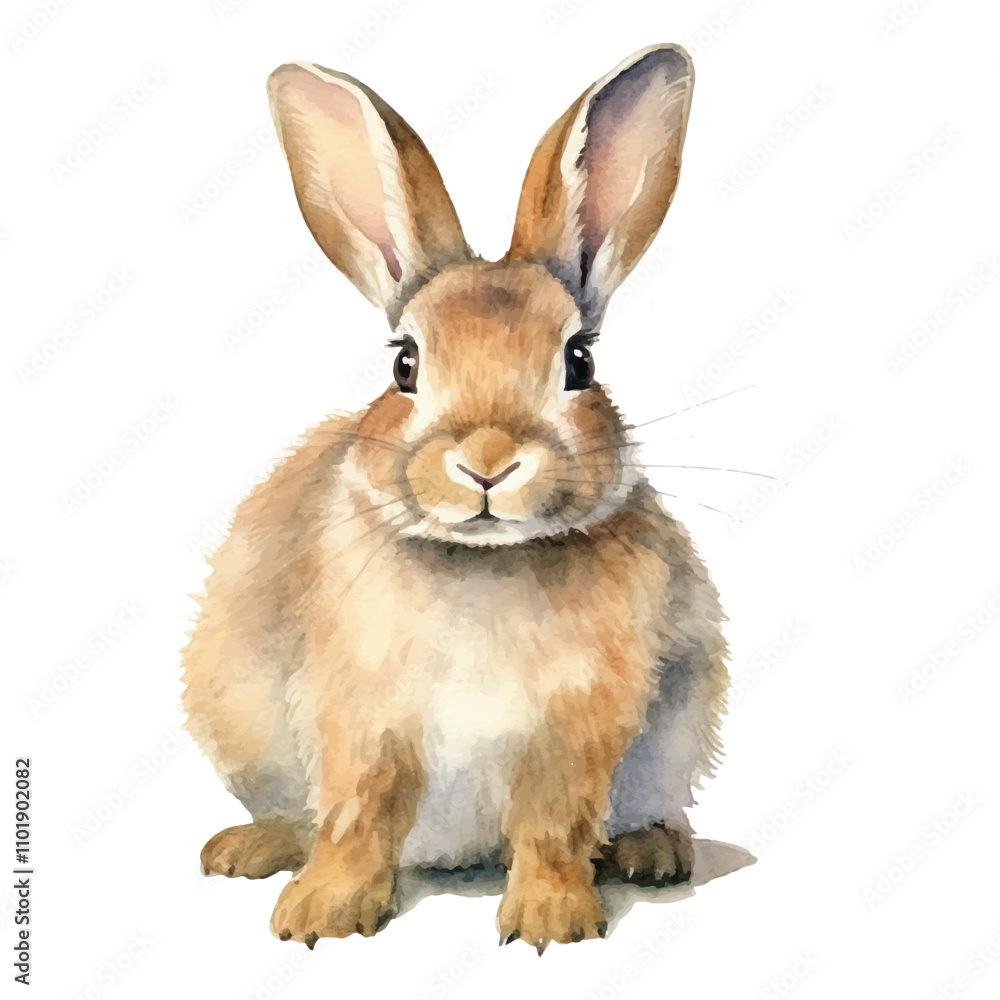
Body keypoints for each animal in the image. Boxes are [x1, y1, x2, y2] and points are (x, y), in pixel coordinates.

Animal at [182, 43, 728, 954]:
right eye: (404, 364)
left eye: (579, 361)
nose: (487, 461)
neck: (485, 563)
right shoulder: (362, 718)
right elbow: (360, 814)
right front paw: (319, 916)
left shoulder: (577, 729)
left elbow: (551, 825)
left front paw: (552, 922)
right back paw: (245, 850)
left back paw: (652, 853)